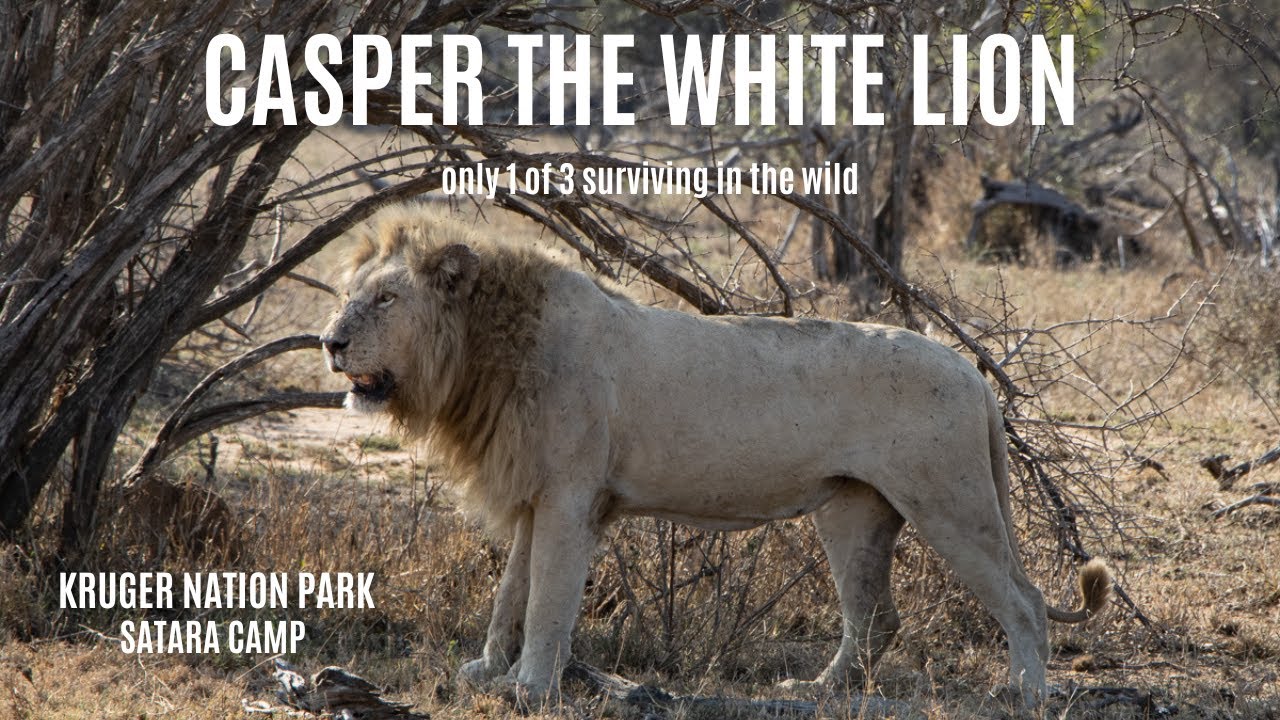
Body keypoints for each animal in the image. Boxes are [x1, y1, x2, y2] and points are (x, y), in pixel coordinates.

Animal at [319, 205, 1111, 707]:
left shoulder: (573, 497)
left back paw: (1025, 691)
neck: (484, 351)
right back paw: (818, 690)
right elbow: (509, 592)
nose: (329, 341)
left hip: (949, 500)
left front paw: (529, 688)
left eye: (386, 300)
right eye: (349, 294)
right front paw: (486, 670)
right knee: (875, 617)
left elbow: (547, 600)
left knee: (1022, 600)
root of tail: (972, 374)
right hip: (855, 511)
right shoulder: (534, 493)